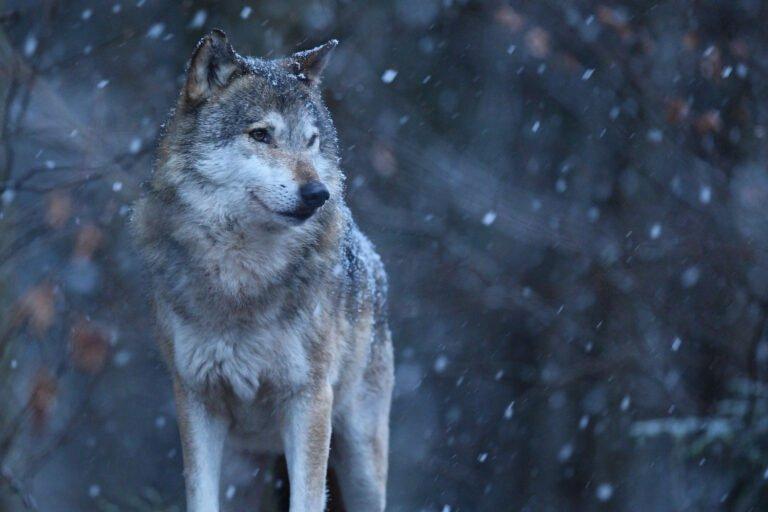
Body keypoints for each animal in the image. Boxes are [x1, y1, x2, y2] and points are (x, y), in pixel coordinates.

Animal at [131, 29, 394, 512]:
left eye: (310, 141)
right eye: (261, 134)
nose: (318, 193)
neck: (242, 278)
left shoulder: (308, 399)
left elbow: (307, 501)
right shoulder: (195, 398)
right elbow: (199, 496)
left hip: (361, 462)